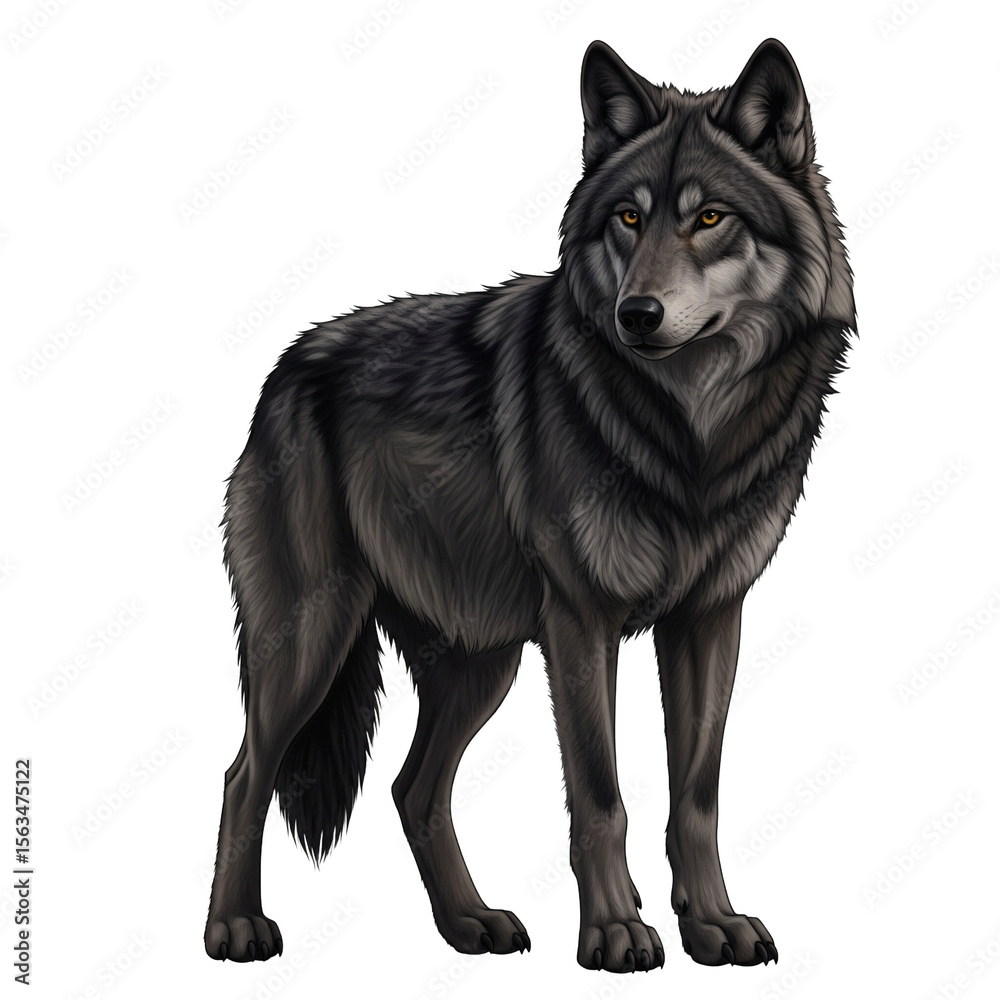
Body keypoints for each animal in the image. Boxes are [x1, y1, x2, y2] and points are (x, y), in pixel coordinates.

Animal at [205, 38, 855, 973]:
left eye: (709, 218)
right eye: (627, 219)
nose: (636, 313)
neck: (690, 434)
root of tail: (286, 367)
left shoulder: (709, 619)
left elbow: (695, 796)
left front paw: (712, 924)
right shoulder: (582, 622)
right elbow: (602, 795)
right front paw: (615, 932)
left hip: (484, 663)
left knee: (412, 789)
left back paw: (469, 923)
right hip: (312, 641)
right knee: (243, 777)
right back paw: (234, 928)